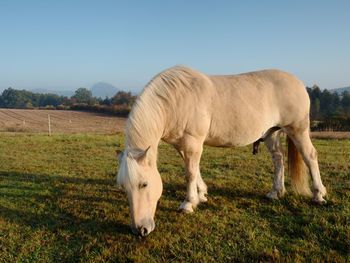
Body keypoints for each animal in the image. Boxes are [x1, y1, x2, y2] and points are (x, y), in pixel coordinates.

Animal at [116, 65, 326, 237]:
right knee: (278, 159)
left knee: (310, 156)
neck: (176, 99)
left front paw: (188, 203)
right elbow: (195, 170)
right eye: (124, 187)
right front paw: (202, 194)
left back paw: (318, 195)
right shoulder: (183, 145)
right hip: (270, 133)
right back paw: (276, 192)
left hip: (297, 129)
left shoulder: (192, 141)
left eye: (144, 184)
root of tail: (297, 82)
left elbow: (190, 173)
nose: (140, 230)